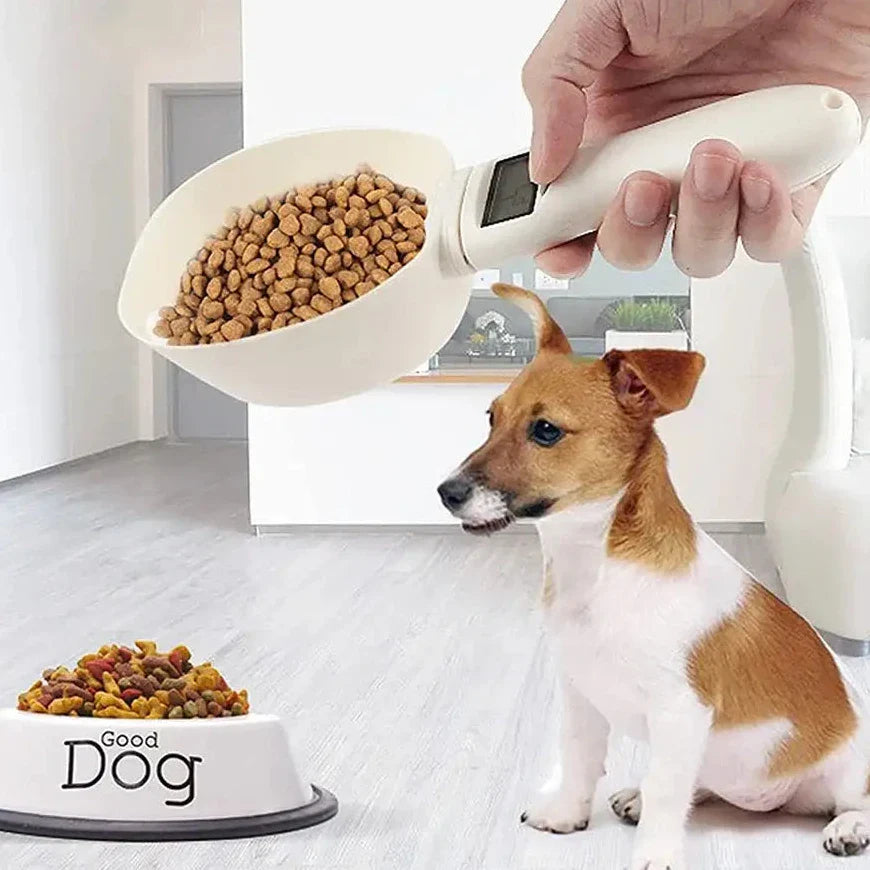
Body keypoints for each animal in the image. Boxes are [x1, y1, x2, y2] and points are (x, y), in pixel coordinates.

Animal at [440, 282, 870, 868]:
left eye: (545, 430)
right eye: (490, 417)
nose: (446, 492)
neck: (599, 567)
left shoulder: (679, 711)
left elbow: (668, 788)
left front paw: (655, 854)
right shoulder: (580, 693)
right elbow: (579, 758)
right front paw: (567, 814)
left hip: (848, 770)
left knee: (852, 798)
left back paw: (849, 825)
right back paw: (638, 797)